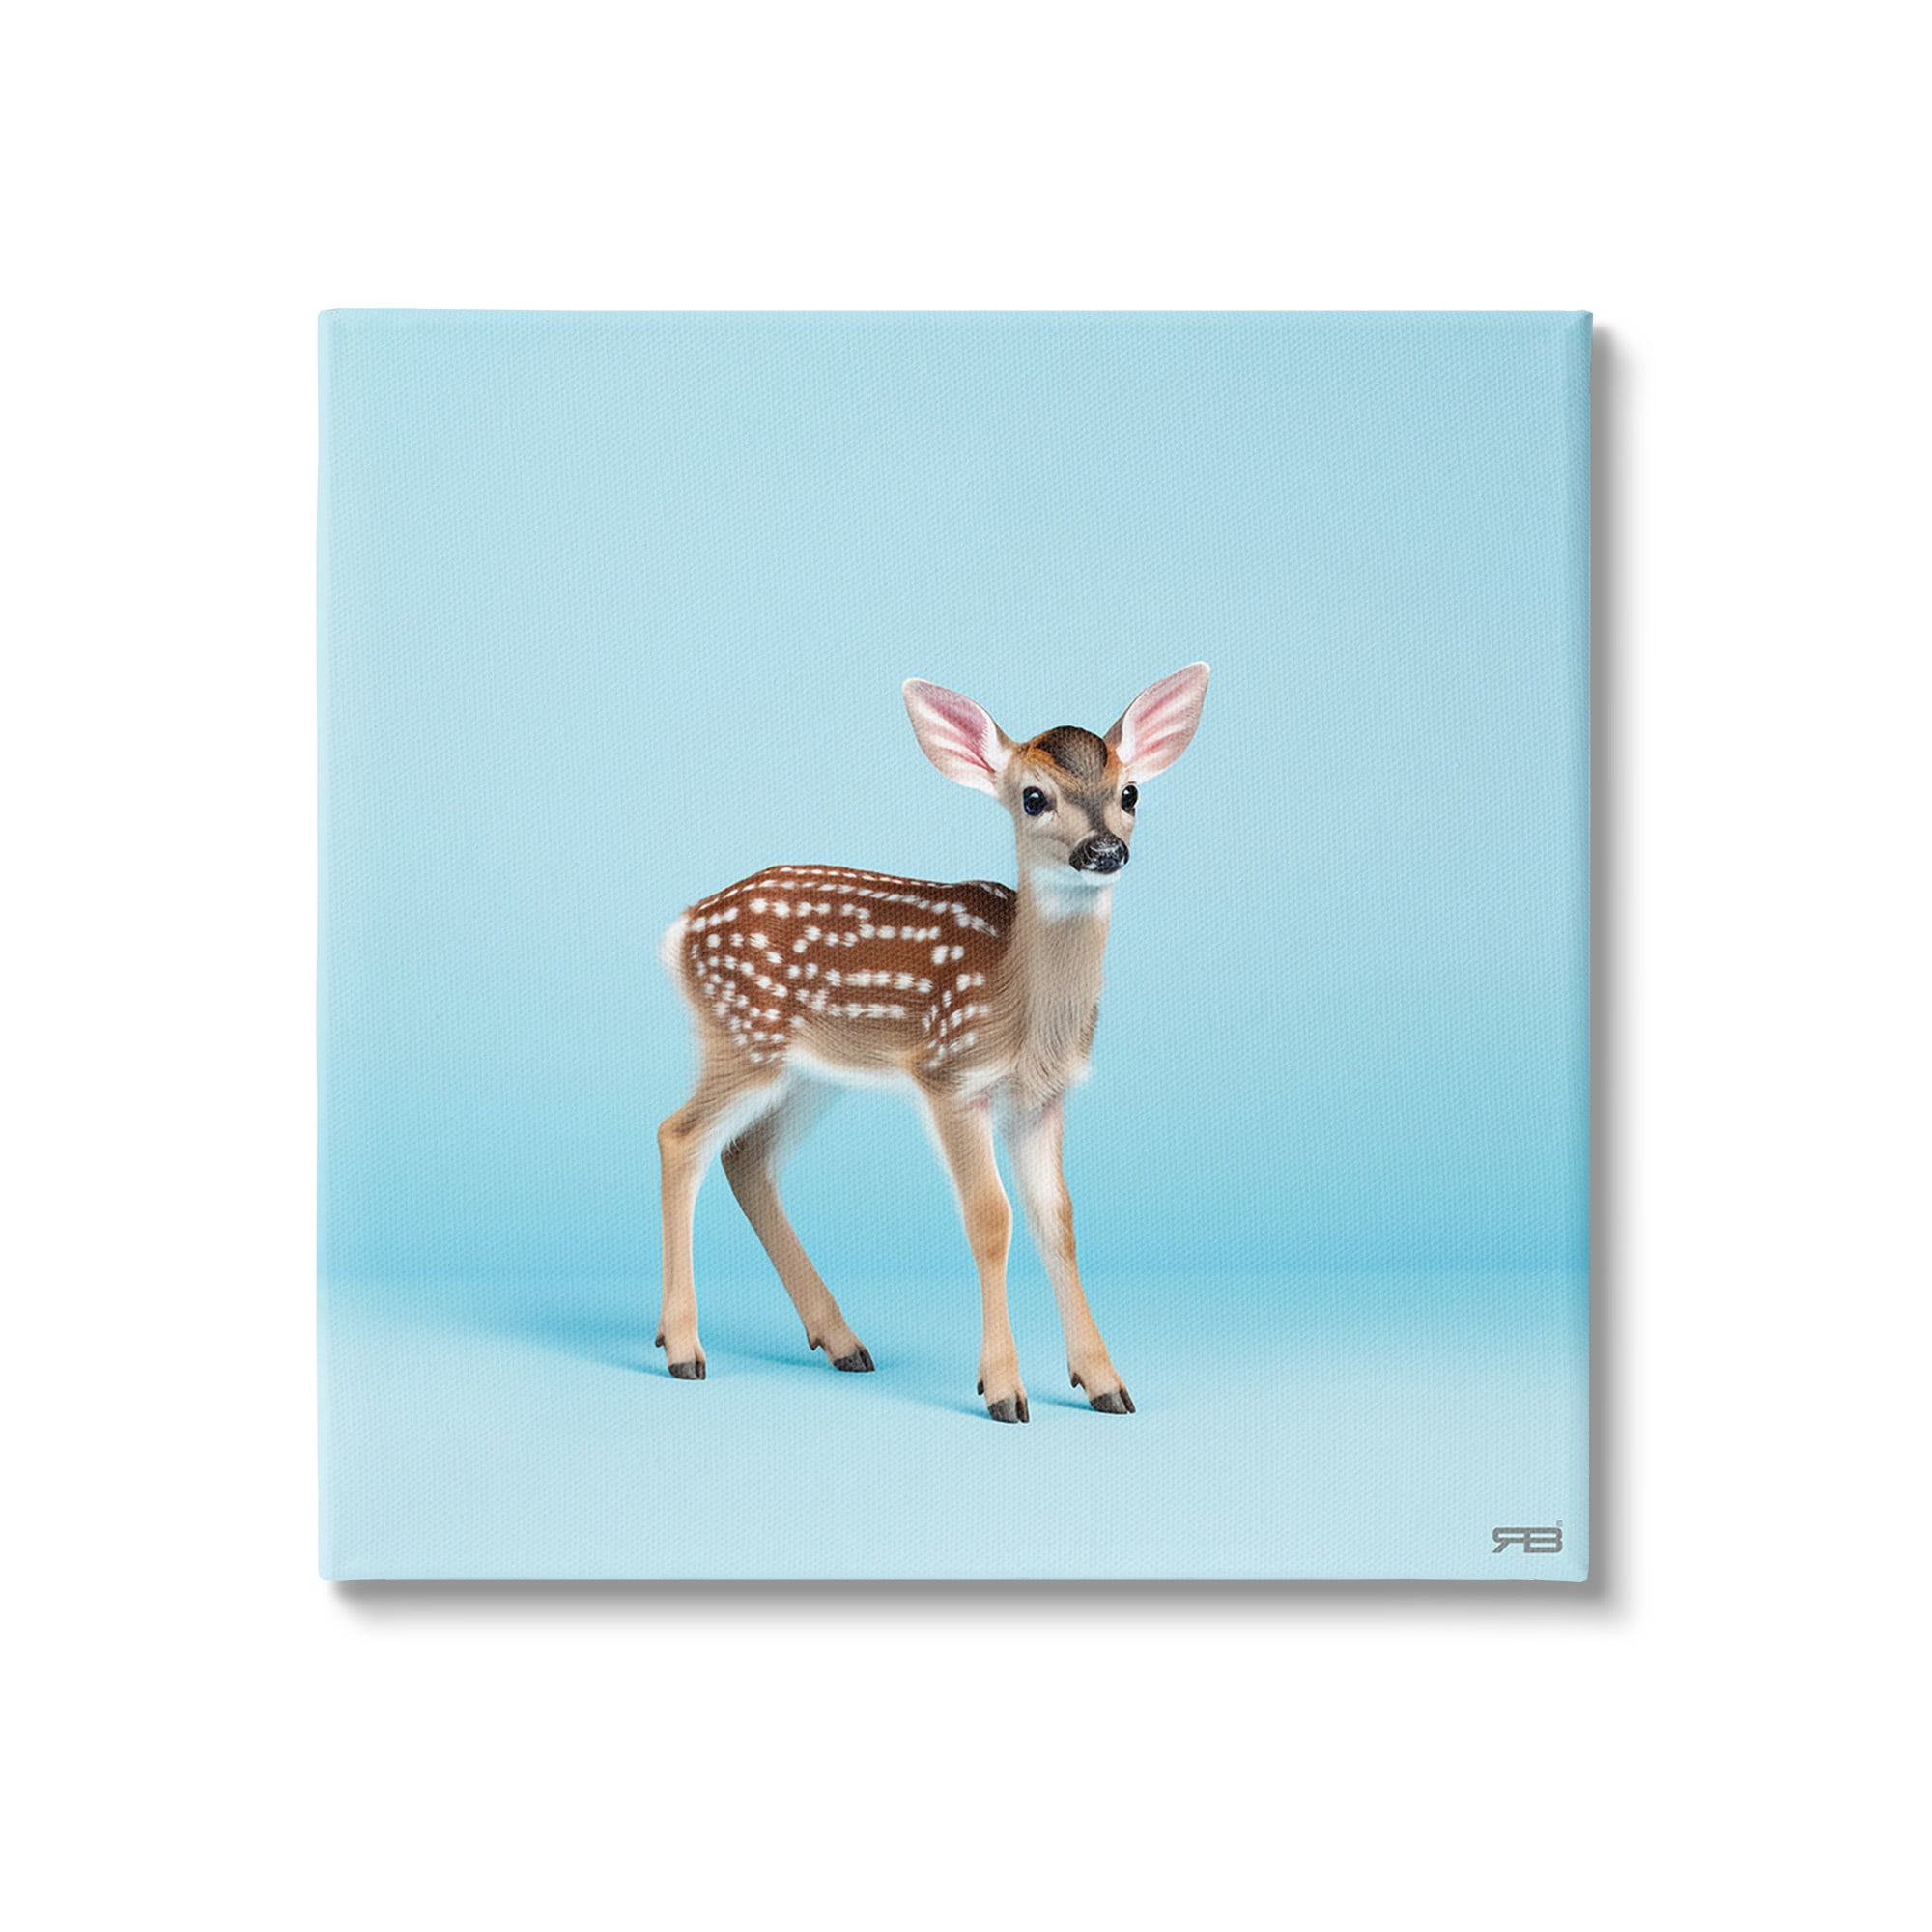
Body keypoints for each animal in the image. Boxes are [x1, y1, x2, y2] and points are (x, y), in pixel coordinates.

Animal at [655, 663, 1211, 1422]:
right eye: (1033, 798)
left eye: (1130, 792)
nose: (1104, 851)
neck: (1021, 1009)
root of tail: (680, 930)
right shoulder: (950, 1074)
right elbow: (990, 1219)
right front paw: (1003, 1390)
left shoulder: (1042, 1099)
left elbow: (1058, 1221)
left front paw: (1104, 1383)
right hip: (743, 1037)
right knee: (679, 1137)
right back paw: (684, 1349)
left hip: (810, 1071)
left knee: (746, 1158)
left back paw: (842, 1343)